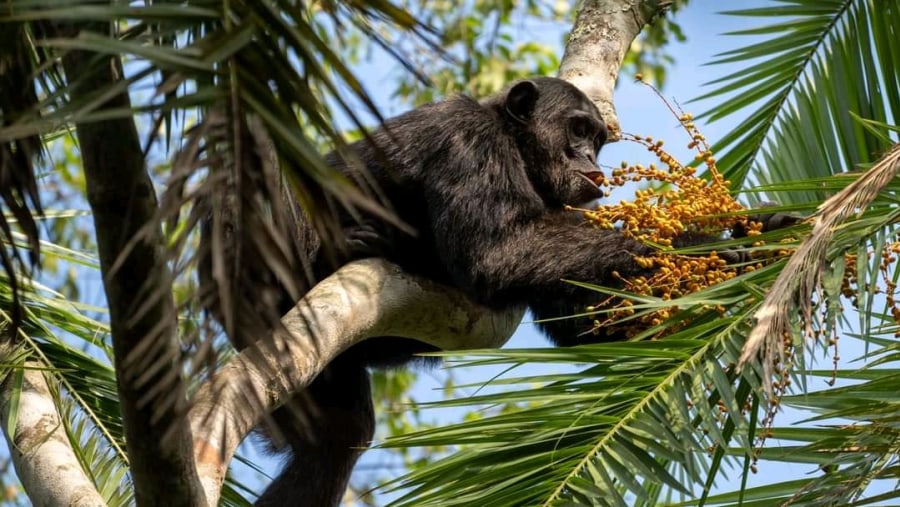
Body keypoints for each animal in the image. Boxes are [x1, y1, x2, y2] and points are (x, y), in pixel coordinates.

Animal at [200, 76, 756, 507]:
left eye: (598, 139)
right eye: (578, 130)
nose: (587, 157)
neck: (516, 145)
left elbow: (587, 316)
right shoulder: (470, 140)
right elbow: (498, 253)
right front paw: (707, 245)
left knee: (336, 440)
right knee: (267, 162)